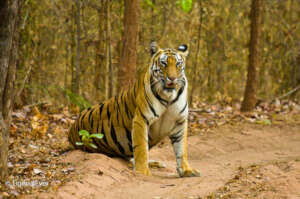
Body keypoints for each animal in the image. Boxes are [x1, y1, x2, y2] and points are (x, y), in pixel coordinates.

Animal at [67, 40, 199, 177]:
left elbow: (181, 149)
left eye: (178, 64)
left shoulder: (180, 121)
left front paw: (186, 170)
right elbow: (141, 147)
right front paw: (142, 171)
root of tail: (70, 133)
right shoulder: (141, 119)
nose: (172, 78)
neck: (168, 97)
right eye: (164, 63)